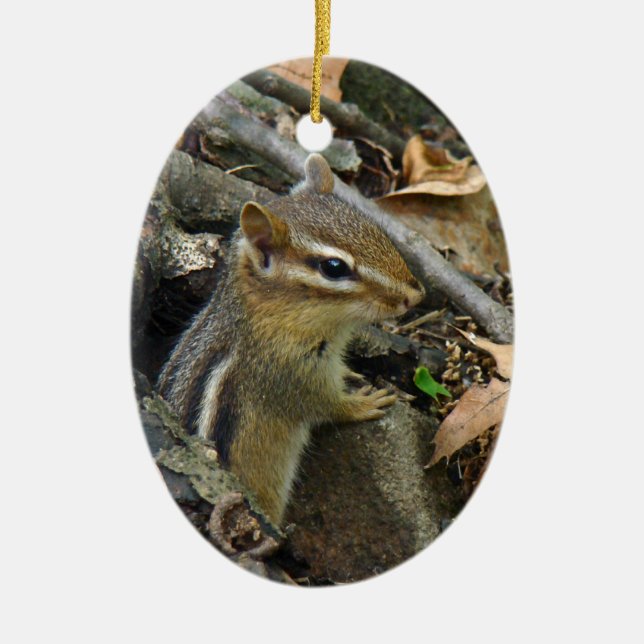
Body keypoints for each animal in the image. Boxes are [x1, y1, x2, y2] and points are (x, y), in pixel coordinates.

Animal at [158, 153, 425, 526]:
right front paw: (363, 403)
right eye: (334, 267)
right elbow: (323, 404)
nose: (415, 296)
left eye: (375, 229)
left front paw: (350, 374)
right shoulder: (285, 373)